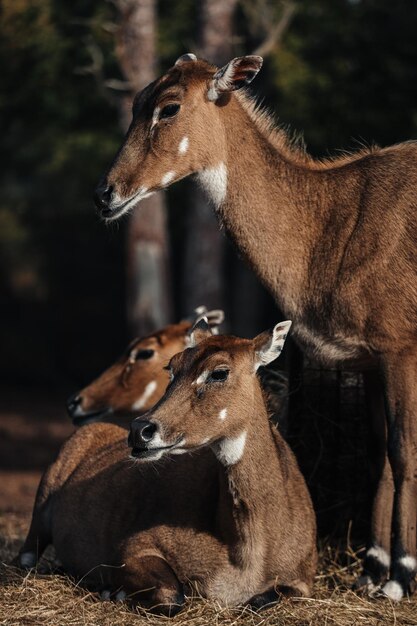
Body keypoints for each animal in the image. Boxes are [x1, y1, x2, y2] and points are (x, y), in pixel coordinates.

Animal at [16, 320, 316, 612]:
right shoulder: (133, 548)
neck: (247, 547)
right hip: (41, 506)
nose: (140, 430)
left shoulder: (302, 581)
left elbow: (265, 599)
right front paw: (114, 592)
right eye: (171, 368)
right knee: (26, 556)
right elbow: (173, 594)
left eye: (219, 372)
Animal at [95, 53, 417, 600]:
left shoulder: (401, 348)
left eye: (169, 106)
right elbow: (379, 454)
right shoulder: (370, 358)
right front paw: (372, 572)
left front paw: (401, 578)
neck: (331, 226)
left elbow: (403, 450)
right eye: (136, 101)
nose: (106, 194)